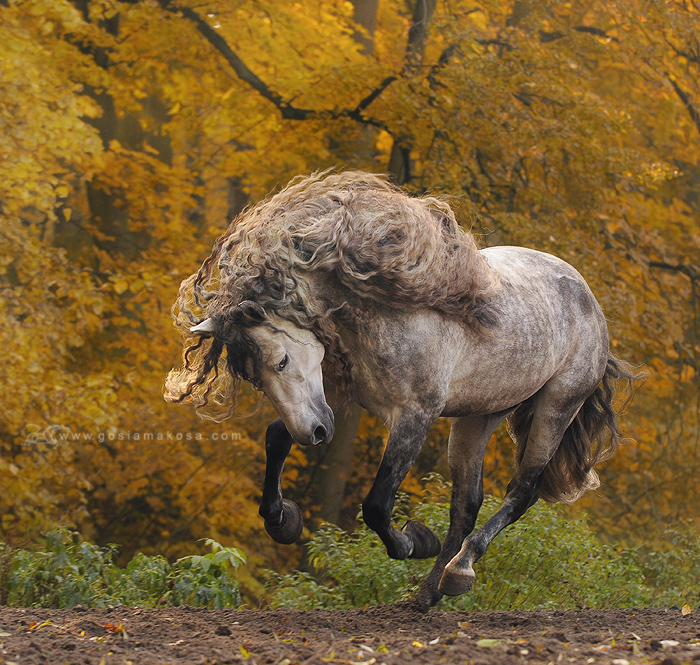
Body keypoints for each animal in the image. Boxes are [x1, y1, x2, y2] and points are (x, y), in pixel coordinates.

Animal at [167, 170, 636, 608]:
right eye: (254, 379)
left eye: (280, 360)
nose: (315, 435)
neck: (381, 308)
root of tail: (590, 301)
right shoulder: (338, 398)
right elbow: (276, 438)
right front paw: (282, 520)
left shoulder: (414, 416)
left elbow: (376, 504)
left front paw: (414, 541)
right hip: (481, 414)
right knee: (467, 503)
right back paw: (430, 592)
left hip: (557, 407)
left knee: (523, 491)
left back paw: (460, 570)